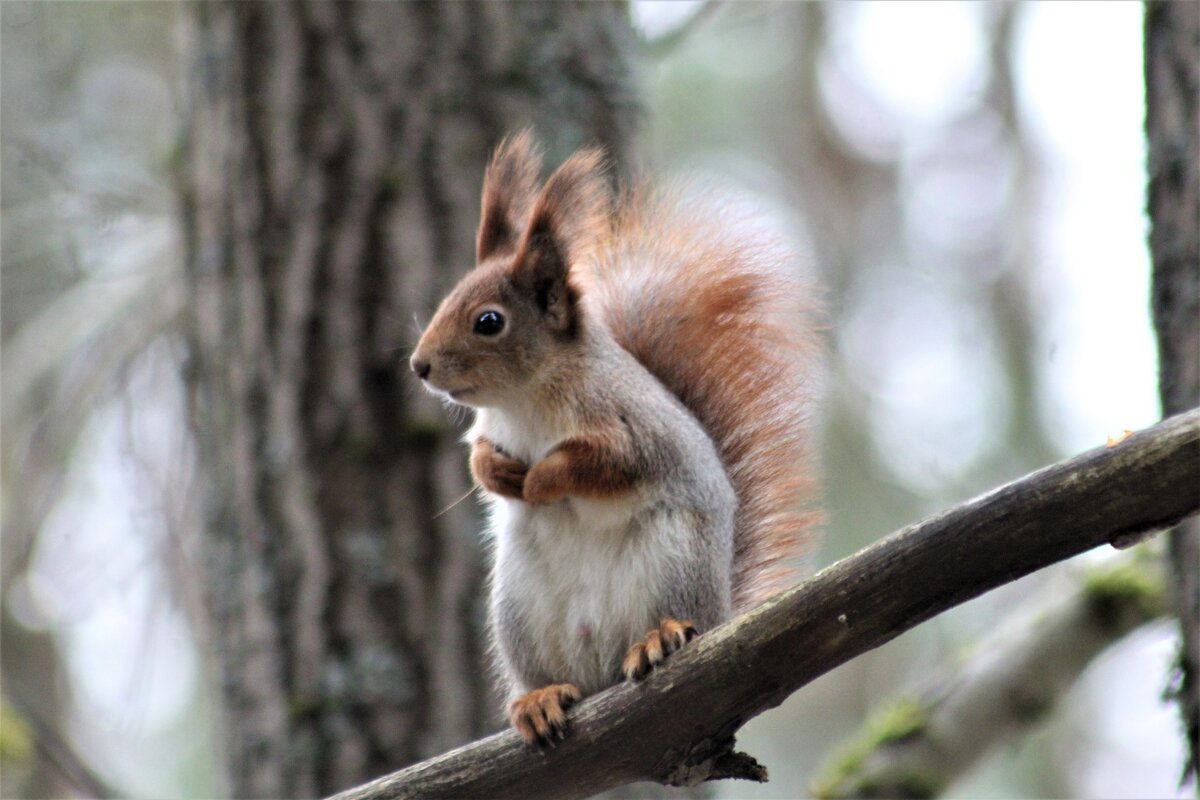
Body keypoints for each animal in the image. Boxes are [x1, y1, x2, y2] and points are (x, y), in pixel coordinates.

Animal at [408, 133, 820, 753]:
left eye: (489, 321)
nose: (419, 366)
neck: (524, 399)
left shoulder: (635, 431)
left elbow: (602, 464)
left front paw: (541, 478)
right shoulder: (487, 428)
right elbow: (478, 460)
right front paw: (500, 475)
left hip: (674, 561)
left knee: (671, 620)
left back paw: (658, 639)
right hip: (519, 611)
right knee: (553, 675)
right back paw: (540, 698)